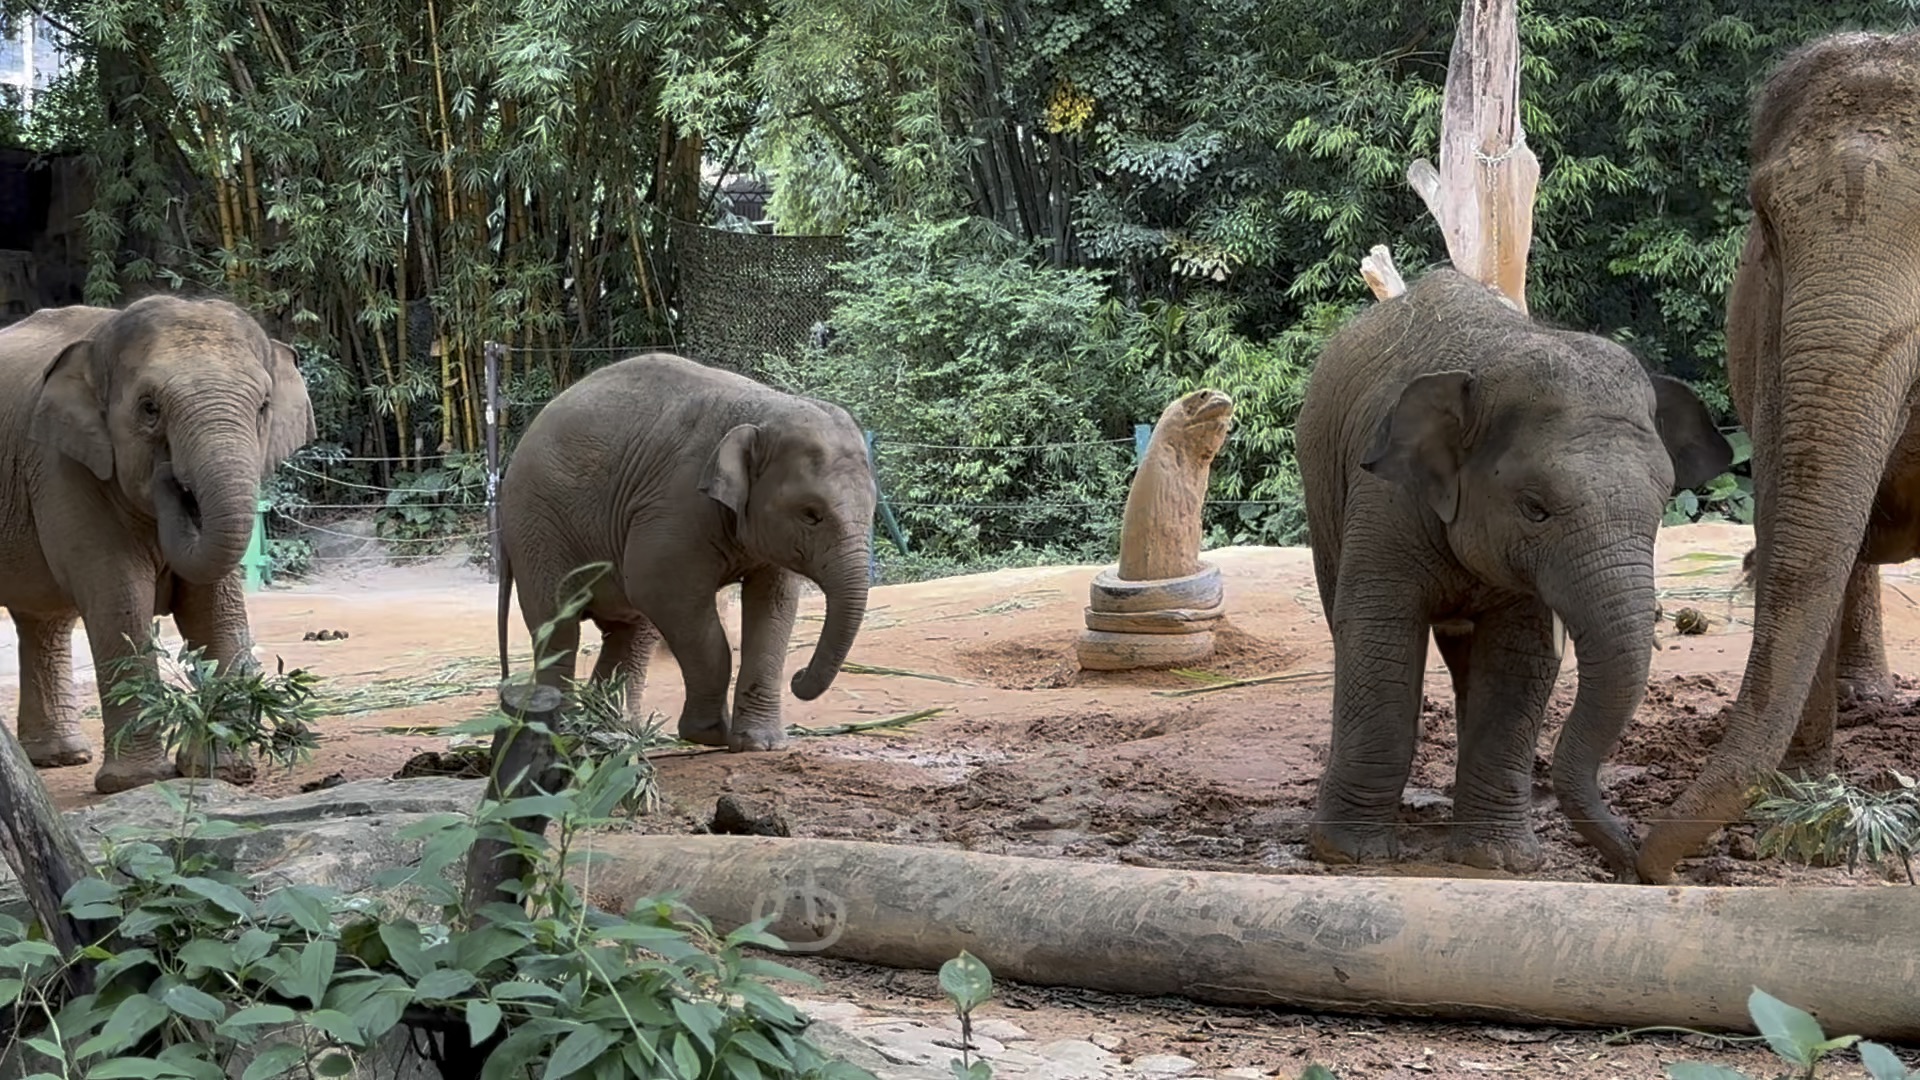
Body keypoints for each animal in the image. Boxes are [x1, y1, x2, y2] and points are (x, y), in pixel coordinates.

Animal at [0, 294, 318, 791]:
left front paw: (220, 771)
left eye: (264, 406)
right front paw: (138, 782)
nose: (171, 477)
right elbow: (120, 599)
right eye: (150, 409)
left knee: (43, 620)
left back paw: (61, 758)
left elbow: (213, 605)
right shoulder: (63, 469)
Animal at [499, 351, 879, 749]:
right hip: (535, 526)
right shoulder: (675, 505)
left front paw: (760, 744)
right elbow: (663, 592)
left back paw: (613, 729)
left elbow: (774, 604)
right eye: (811, 514)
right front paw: (710, 735)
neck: (763, 411)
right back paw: (567, 729)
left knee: (630, 630)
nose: (799, 677)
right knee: (559, 624)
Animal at [1297, 267, 1735, 876]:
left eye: (1662, 504)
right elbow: (1379, 636)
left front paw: (1497, 860)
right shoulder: (1383, 501)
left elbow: (1519, 657)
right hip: (1321, 491)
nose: (1632, 861)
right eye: (1535, 508)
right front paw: (1350, 855)